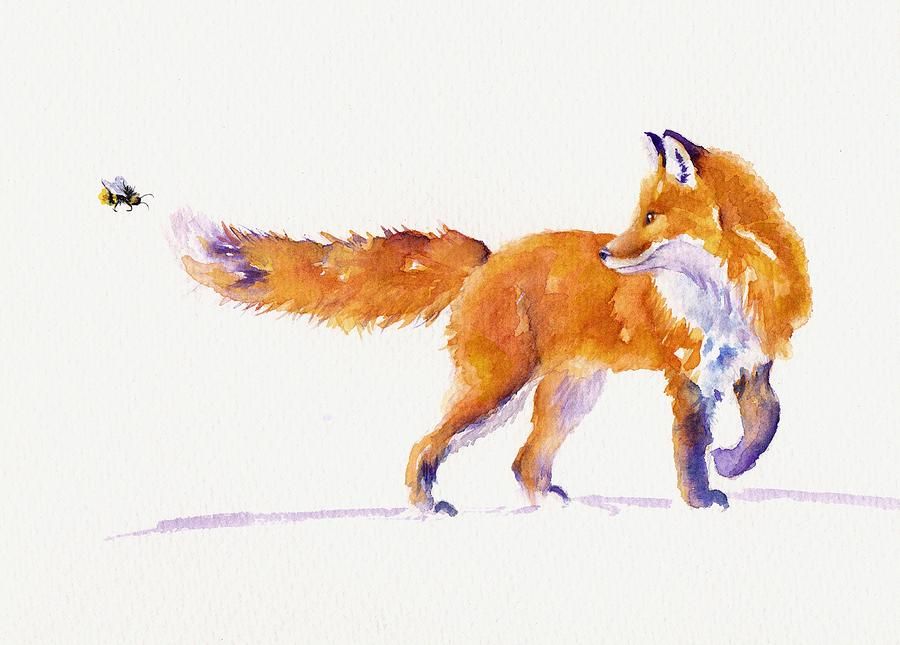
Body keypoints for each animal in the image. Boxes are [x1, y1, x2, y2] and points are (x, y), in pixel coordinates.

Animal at [169, 130, 811, 514]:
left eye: (651, 217)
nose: (608, 254)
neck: (726, 293)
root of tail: (488, 258)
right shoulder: (687, 377)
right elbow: (691, 446)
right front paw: (701, 496)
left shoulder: (753, 366)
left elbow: (767, 424)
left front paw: (731, 463)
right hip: (497, 389)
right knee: (428, 444)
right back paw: (427, 505)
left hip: (569, 394)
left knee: (525, 461)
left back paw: (550, 503)